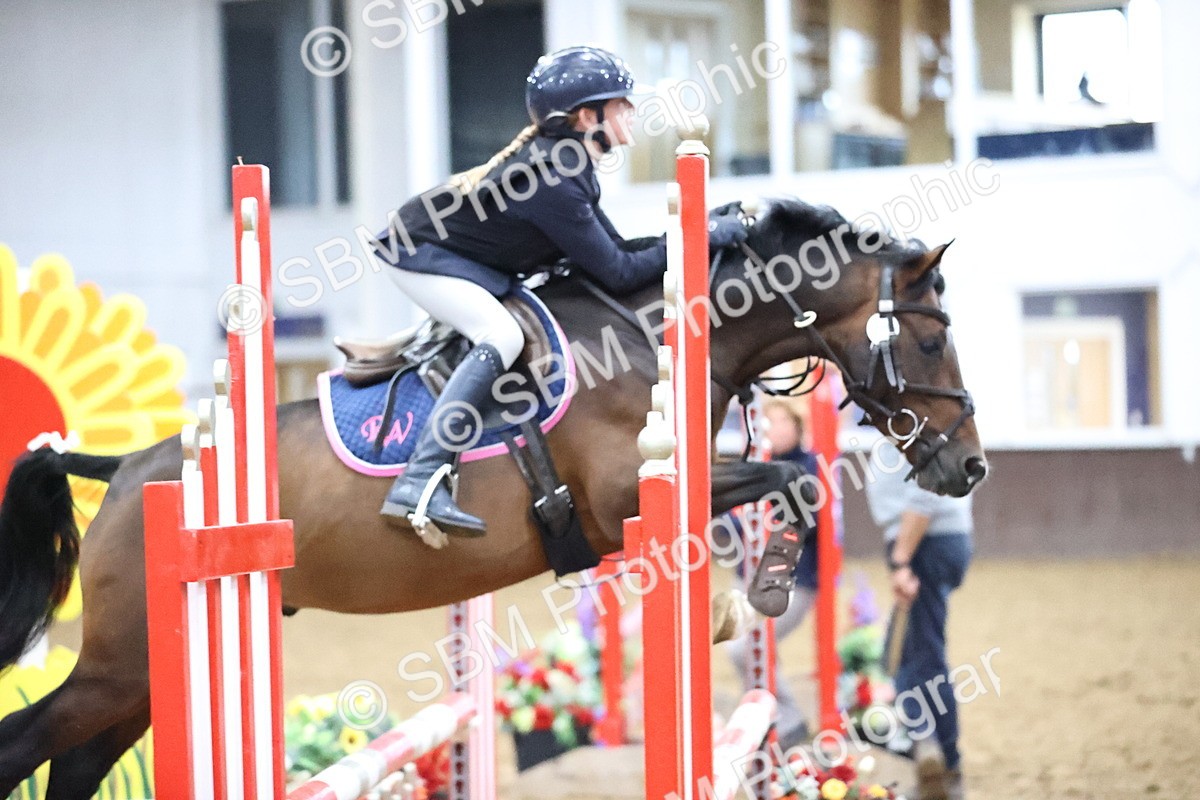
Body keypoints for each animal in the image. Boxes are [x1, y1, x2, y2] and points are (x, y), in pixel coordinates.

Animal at [0, 200, 987, 798]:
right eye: (929, 340)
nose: (970, 468)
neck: (656, 335)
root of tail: (130, 470)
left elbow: (793, 485)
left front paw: (750, 594)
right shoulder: (625, 494)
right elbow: (790, 478)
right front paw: (753, 594)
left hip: (138, 684)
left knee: (70, 764)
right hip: (121, 667)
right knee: (25, 741)